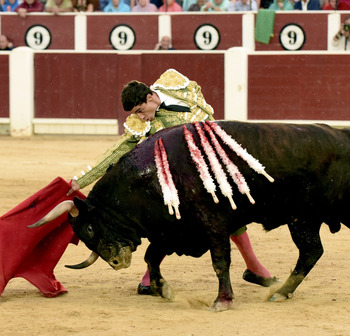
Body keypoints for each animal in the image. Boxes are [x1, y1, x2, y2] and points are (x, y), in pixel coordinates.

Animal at [30, 121, 350, 312]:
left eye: (89, 229)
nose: (116, 263)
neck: (148, 177)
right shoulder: (171, 230)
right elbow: (151, 257)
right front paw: (163, 290)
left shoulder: (213, 225)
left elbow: (220, 262)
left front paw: (222, 301)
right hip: (303, 220)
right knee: (311, 252)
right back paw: (281, 291)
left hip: (307, 219)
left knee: (309, 252)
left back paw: (277, 290)